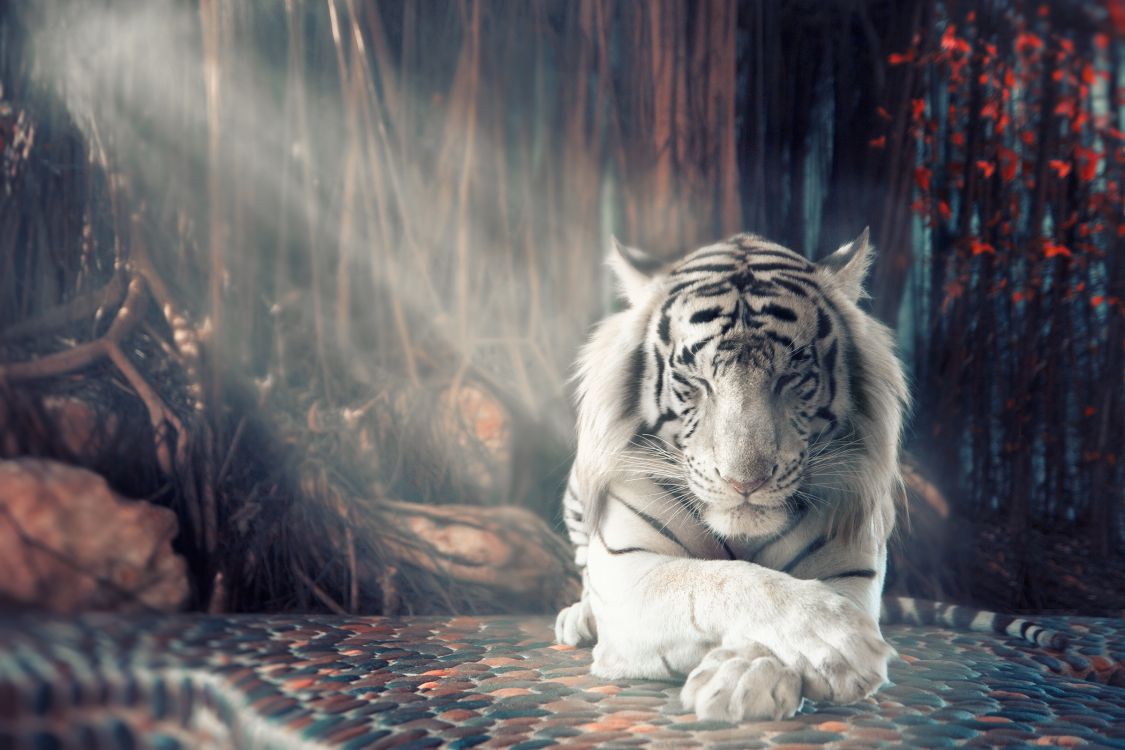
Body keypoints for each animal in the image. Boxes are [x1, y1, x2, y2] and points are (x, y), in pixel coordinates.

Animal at [555, 230, 1066, 722]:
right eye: (695, 380)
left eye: (791, 377)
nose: (745, 482)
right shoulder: (629, 571)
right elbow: (723, 580)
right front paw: (836, 641)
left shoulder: (852, 568)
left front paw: (745, 678)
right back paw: (578, 618)